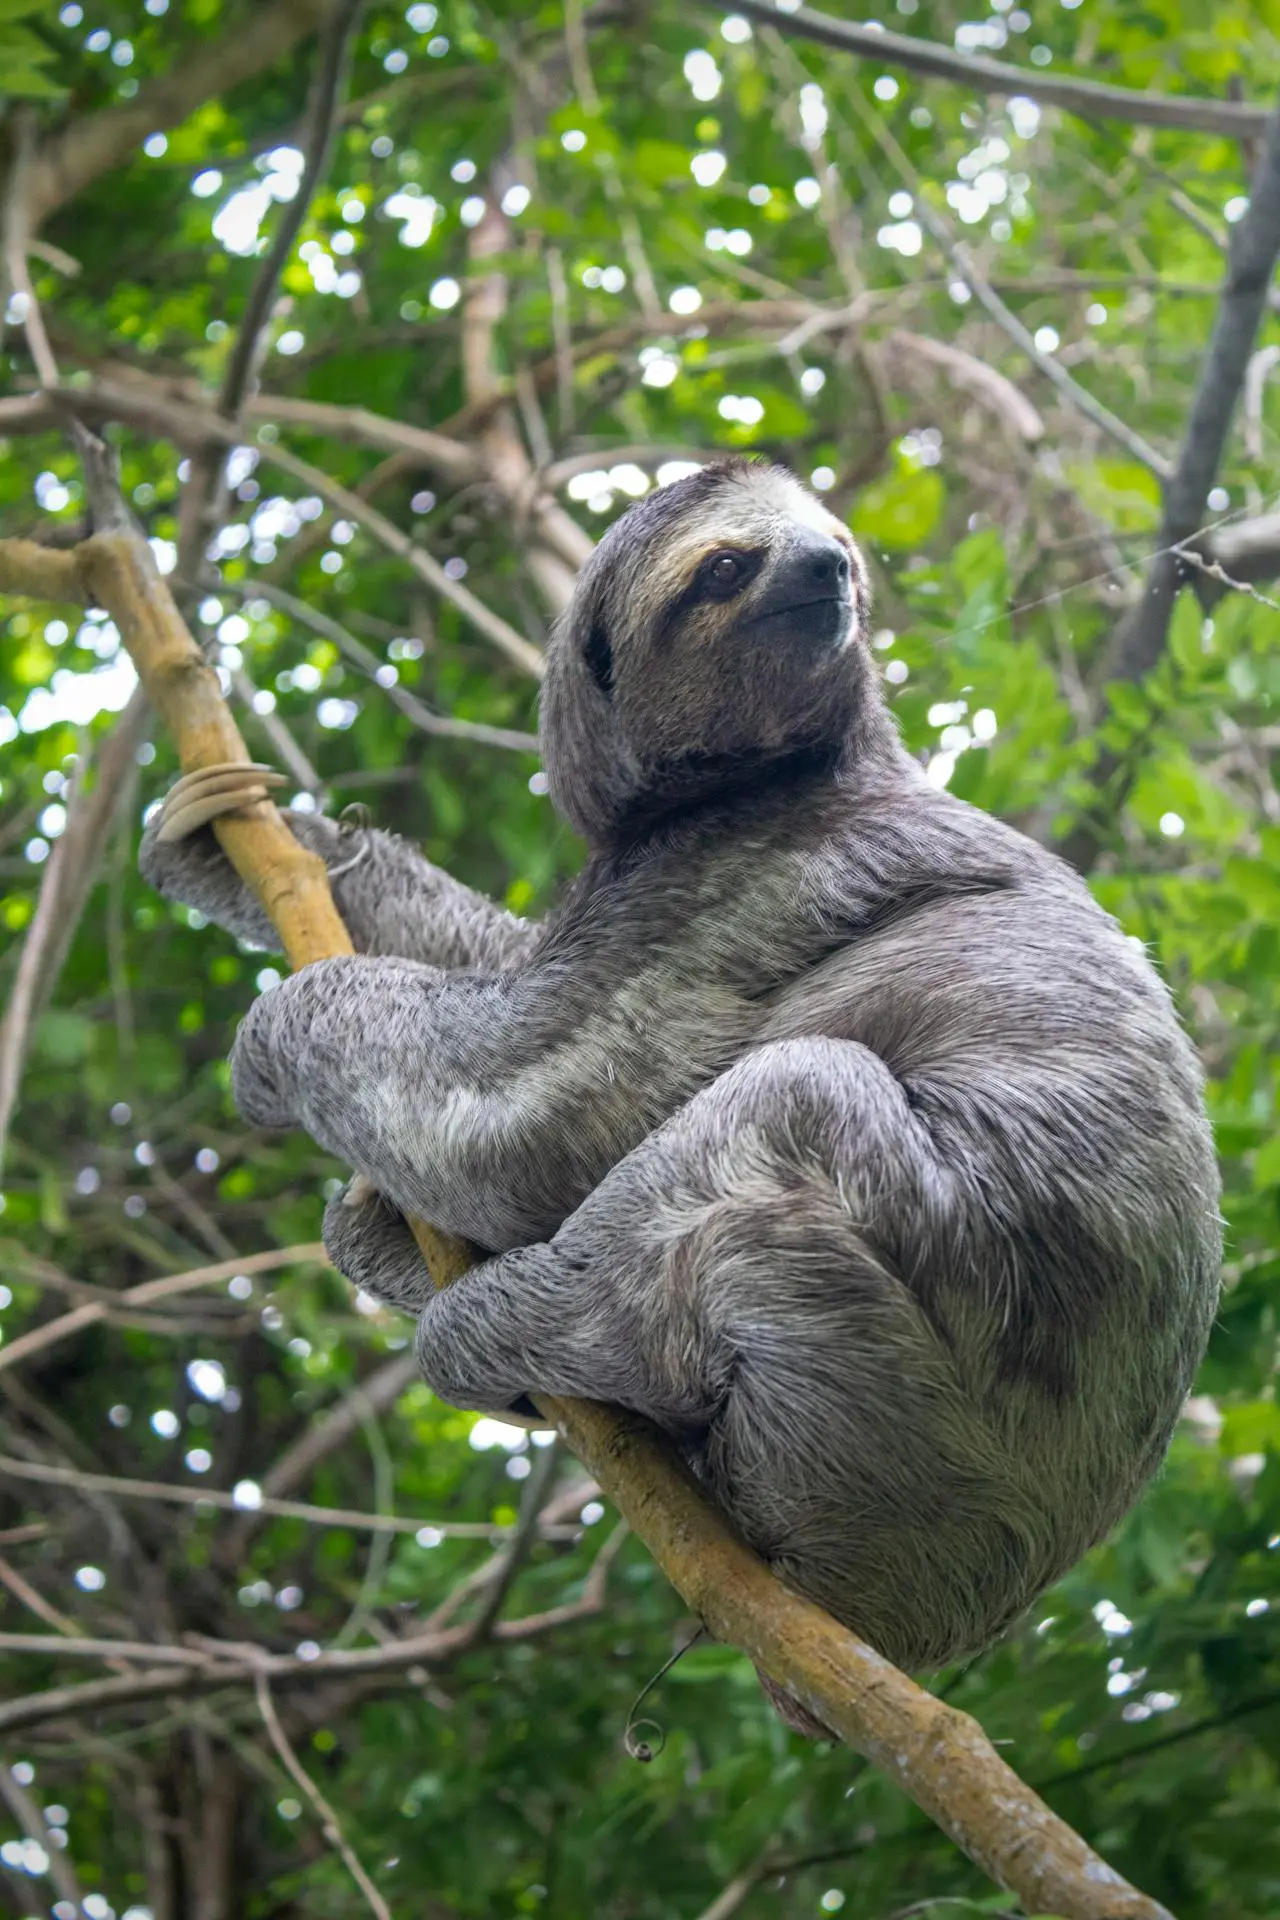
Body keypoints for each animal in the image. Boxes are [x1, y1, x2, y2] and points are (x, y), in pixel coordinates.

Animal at [140, 459, 1220, 1723]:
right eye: (726, 566)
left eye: (827, 543)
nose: (825, 568)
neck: (774, 771)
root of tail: (915, 1629)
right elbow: (503, 969)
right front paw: (248, 839)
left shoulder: (741, 871)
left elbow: (524, 1105)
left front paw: (280, 1028)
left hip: (929, 1434)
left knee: (789, 1107)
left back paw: (509, 1318)